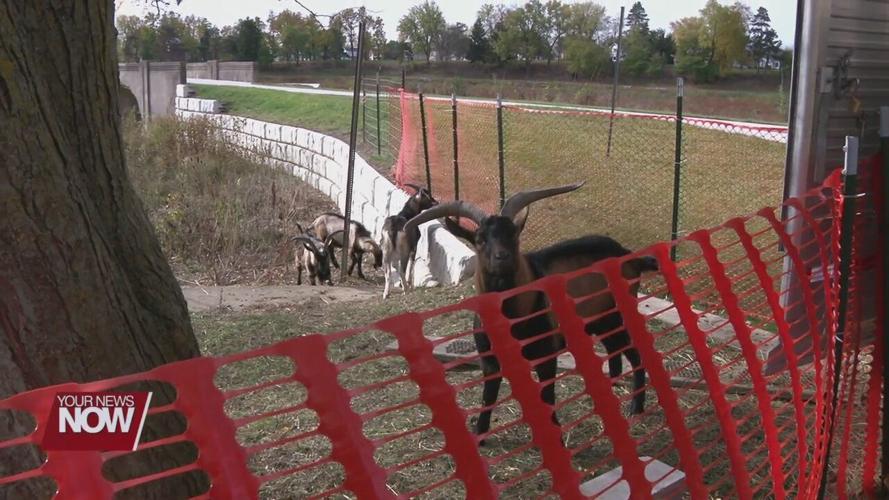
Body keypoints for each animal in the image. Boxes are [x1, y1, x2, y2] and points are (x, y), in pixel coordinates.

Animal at [405, 183, 658, 443]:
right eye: (480, 239)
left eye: (513, 234)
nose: (502, 257)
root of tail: (629, 255)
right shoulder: (490, 360)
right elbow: (489, 396)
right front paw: (480, 436)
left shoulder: (546, 354)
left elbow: (547, 396)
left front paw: (555, 436)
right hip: (599, 321)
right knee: (614, 349)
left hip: (616, 315)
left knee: (635, 353)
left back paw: (636, 406)